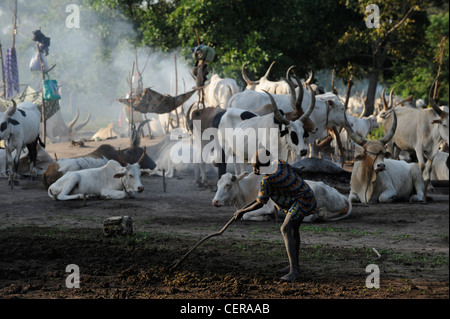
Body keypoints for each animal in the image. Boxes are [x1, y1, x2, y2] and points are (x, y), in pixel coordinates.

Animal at [211, 172, 352, 222]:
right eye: (218, 184)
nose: (215, 201)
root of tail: (344, 198)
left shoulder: (267, 207)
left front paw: (265, 217)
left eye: (228, 185)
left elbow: (245, 215)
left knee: (312, 217)